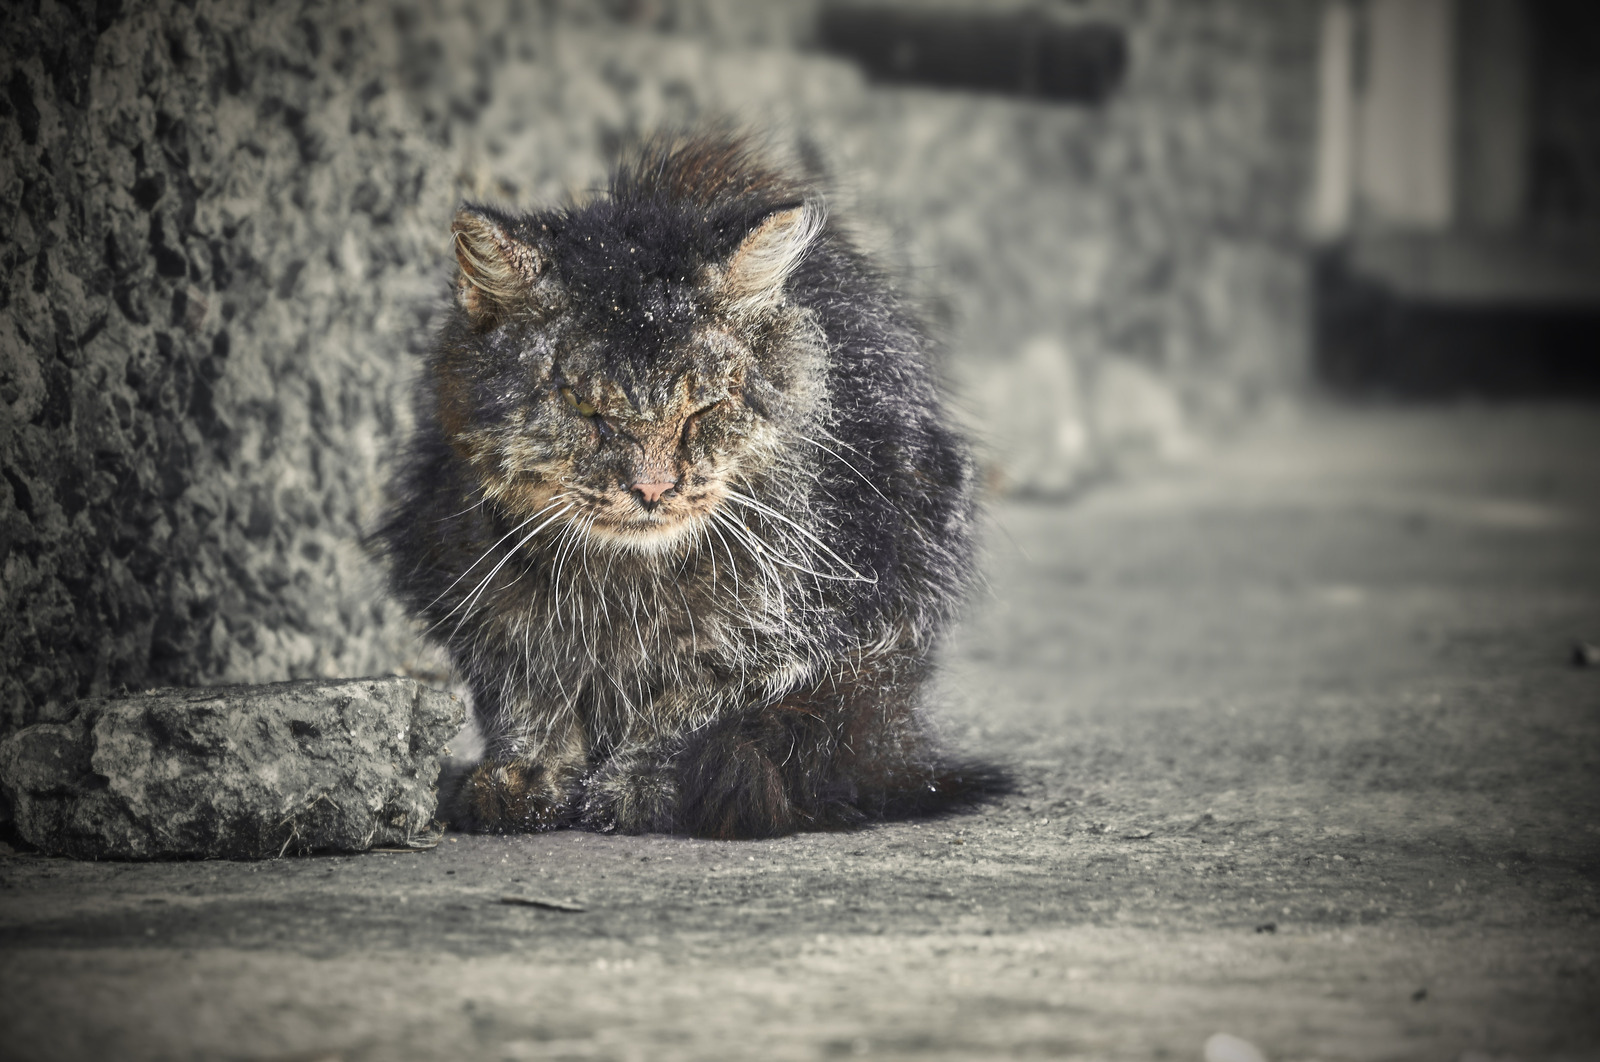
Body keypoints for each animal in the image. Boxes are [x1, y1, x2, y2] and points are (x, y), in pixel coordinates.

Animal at [379, 130, 992, 838]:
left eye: (702, 410)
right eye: (585, 409)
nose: (653, 488)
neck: (623, 588)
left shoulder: (802, 627)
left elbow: (686, 706)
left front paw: (640, 783)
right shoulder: (468, 590)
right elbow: (529, 697)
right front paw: (521, 777)